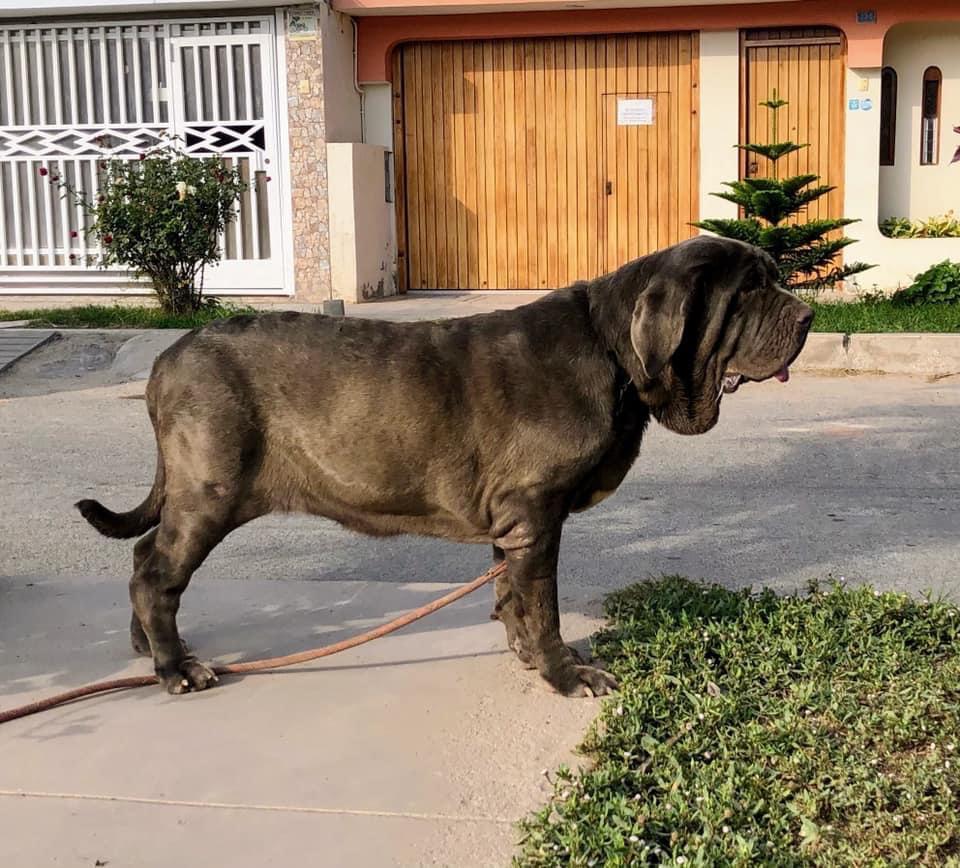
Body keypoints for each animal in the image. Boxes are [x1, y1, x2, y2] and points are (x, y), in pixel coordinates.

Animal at [77, 237, 808, 700]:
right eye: (748, 292)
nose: (806, 314)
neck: (615, 354)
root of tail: (167, 357)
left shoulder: (515, 519)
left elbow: (511, 589)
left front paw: (523, 651)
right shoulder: (536, 511)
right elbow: (543, 601)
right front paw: (564, 673)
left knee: (145, 553)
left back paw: (147, 648)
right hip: (214, 489)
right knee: (157, 569)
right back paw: (176, 668)